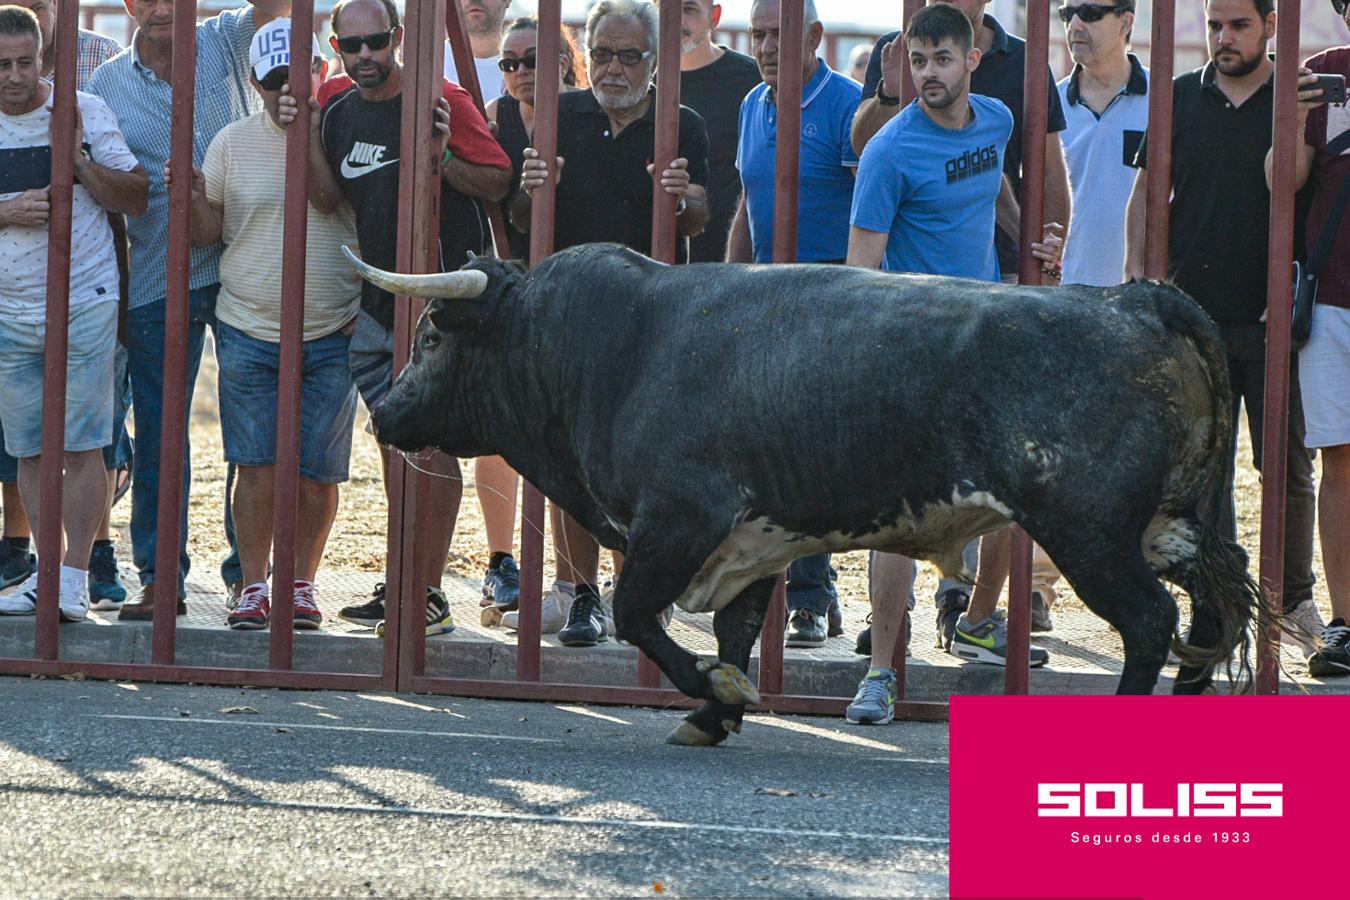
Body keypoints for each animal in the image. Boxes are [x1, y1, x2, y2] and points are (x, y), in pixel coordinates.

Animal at [345, 241, 1263, 744]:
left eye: (432, 336)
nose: (382, 410)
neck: (593, 344)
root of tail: (1137, 299)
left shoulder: (680, 520)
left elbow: (642, 616)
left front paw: (716, 693)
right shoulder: (752, 544)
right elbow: (735, 629)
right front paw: (713, 714)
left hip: (1090, 532)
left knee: (1151, 621)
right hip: (1167, 526)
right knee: (1213, 610)